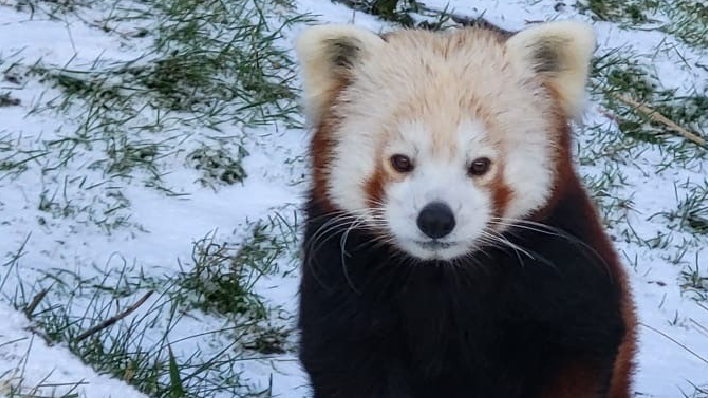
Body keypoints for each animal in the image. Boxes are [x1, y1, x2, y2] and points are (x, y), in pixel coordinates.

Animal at [296, 18, 640, 398]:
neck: (444, 277)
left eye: (479, 165)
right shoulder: (342, 284)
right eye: (401, 161)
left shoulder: (563, 271)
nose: (435, 219)